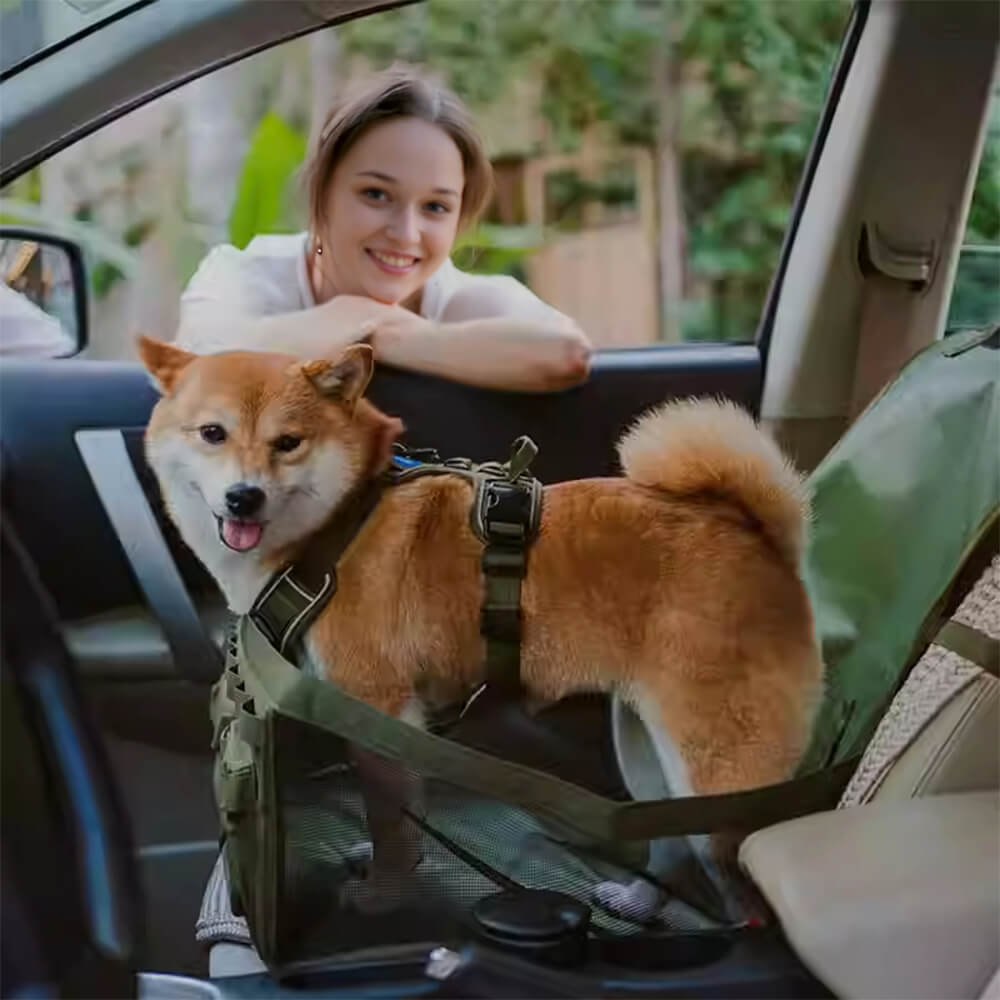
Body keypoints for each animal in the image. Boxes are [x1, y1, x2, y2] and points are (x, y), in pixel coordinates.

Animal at [141, 340, 824, 924]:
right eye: (212, 433)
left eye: (289, 442)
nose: (244, 497)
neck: (339, 523)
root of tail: (757, 533)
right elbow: (400, 809)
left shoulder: (378, 709)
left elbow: (390, 819)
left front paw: (386, 895)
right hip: (647, 750)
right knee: (670, 837)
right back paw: (638, 902)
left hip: (716, 767)